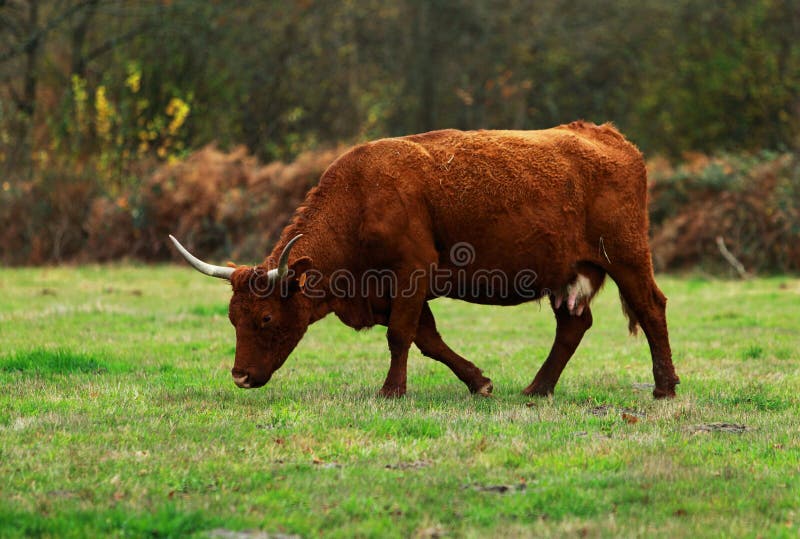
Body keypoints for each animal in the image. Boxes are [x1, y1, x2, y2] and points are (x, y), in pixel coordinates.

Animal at [172, 123, 680, 400]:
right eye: (232, 318)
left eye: (264, 318)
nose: (239, 376)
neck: (361, 196)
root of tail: (606, 135)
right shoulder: (393, 290)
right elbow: (427, 339)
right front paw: (478, 381)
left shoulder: (411, 273)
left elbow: (401, 336)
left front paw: (391, 390)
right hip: (566, 271)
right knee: (573, 326)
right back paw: (538, 388)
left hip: (628, 256)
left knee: (651, 308)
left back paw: (665, 387)